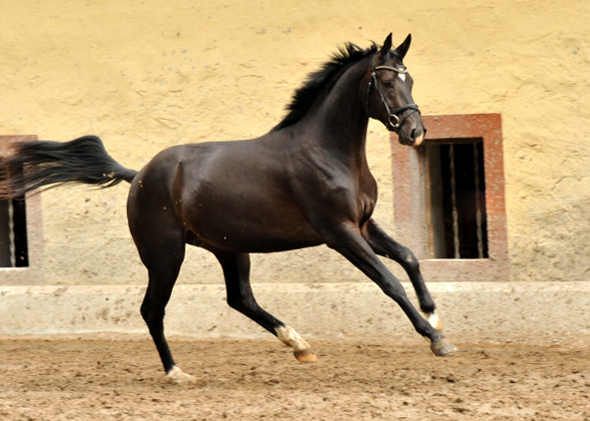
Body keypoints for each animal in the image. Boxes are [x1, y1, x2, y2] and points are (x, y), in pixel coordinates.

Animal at [0, 32, 458, 380]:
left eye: (410, 80)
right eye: (386, 82)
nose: (415, 132)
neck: (327, 151)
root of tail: (140, 175)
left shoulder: (362, 223)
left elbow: (409, 257)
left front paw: (435, 316)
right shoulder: (339, 233)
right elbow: (389, 281)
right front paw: (437, 340)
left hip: (229, 248)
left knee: (240, 299)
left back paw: (299, 344)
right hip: (166, 255)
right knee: (153, 309)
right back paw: (177, 372)